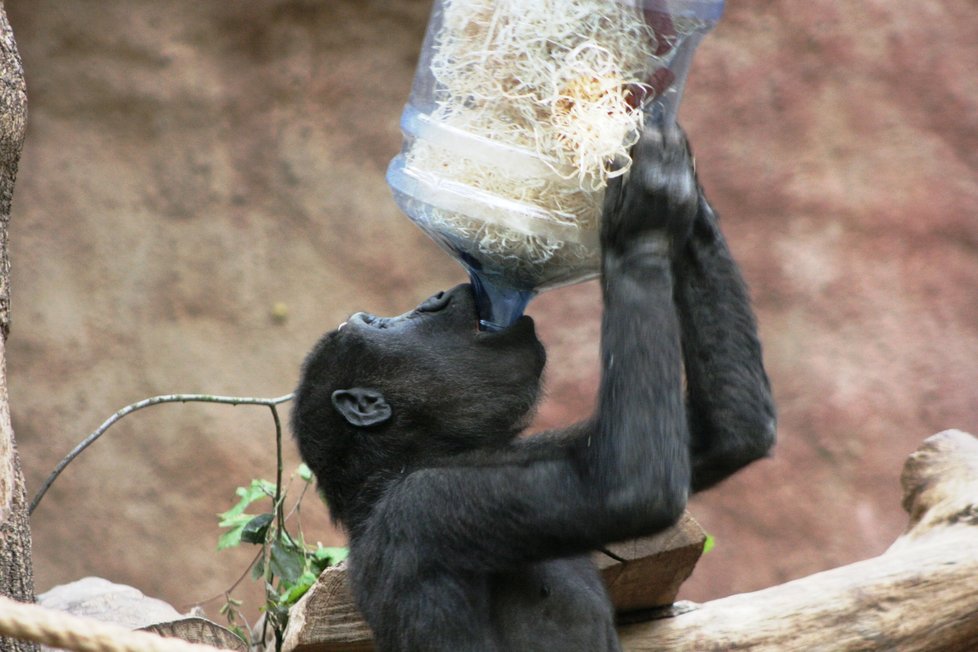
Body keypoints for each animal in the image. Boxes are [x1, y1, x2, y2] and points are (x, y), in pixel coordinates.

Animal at [294, 123, 772, 652]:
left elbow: (716, 438)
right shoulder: (427, 504)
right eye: (380, 324)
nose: (433, 299)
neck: (424, 456)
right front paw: (647, 202)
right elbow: (628, 488)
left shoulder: (527, 448)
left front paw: (679, 176)